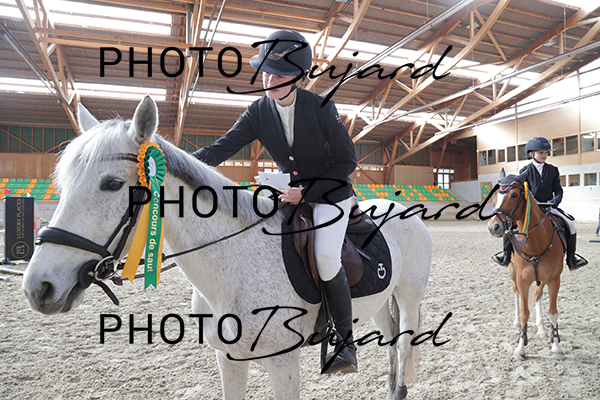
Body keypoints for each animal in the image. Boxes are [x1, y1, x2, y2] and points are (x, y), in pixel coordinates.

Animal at [22, 96, 432, 400]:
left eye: (111, 184)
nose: (37, 287)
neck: (234, 267)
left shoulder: (284, 365)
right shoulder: (229, 359)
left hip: (409, 298)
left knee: (404, 343)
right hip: (378, 302)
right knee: (390, 340)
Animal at [487, 169, 565, 361]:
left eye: (515, 195)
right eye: (495, 195)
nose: (493, 227)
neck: (535, 242)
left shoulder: (554, 279)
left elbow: (553, 312)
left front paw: (556, 346)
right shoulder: (522, 279)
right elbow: (524, 313)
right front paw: (520, 348)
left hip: (541, 279)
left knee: (537, 294)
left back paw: (542, 328)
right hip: (513, 273)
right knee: (515, 293)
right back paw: (516, 322)